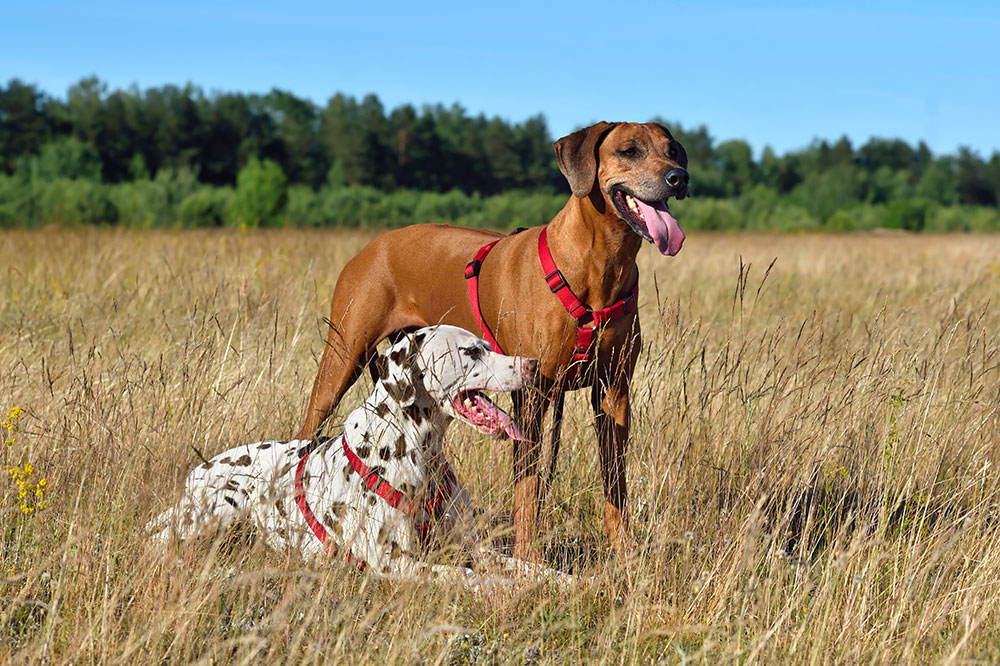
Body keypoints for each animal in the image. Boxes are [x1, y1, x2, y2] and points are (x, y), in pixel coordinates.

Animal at [149, 324, 572, 584]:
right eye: (471, 352)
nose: (534, 365)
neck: (417, 455)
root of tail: (196, 473)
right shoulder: (396, 563)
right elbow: (470, 577)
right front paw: (503, 587)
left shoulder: (473, 549)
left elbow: (527, 567)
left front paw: (568, 582)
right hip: (223, 507)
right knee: (159, 542)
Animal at [296, 122, 688, 556]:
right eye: (630, 151)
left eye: (673, 151)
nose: (679, 178)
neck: (600, 268)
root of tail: (370, 246)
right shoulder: (532, 395)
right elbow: (528, 488)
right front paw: (527, 555)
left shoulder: (613, 392)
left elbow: (614, 481)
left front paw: (624, 554)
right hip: (342, 357)